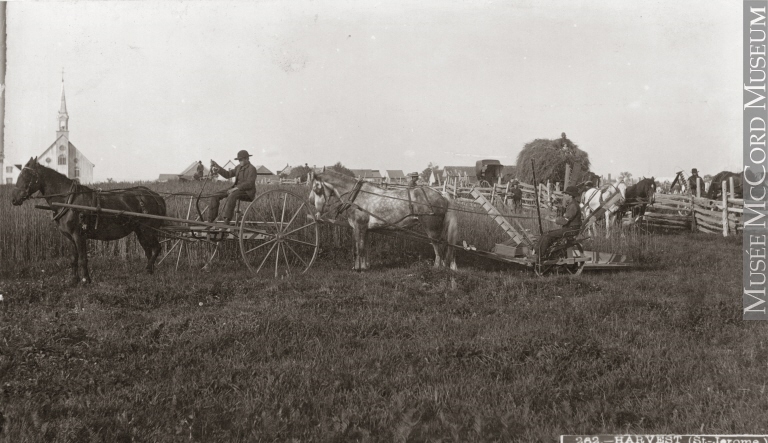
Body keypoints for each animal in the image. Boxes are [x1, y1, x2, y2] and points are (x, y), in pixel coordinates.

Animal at [10, 158, 167, 286]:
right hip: (140, 230)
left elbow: (82, 258)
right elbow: (73, 258)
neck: (68, 201)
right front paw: (74, 280)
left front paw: (86, 280)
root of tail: (155, 196)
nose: (14, 199)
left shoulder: (79, 235)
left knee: (156, 248)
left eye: (27, 176)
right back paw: (149, 271)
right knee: (148, 250)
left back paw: (148, 269)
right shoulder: (70, 238)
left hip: (148, 230)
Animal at [308, 169, 460, 270]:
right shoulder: (365, 229)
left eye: (316, 188)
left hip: (432, 228)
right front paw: (364, 266)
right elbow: (364, 248)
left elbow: (358, 248)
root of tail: (442, 194)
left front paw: (358, 268)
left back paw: (437, 268)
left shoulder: (359, 226)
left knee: (438, 248)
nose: (310, 202)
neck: (357, 196)